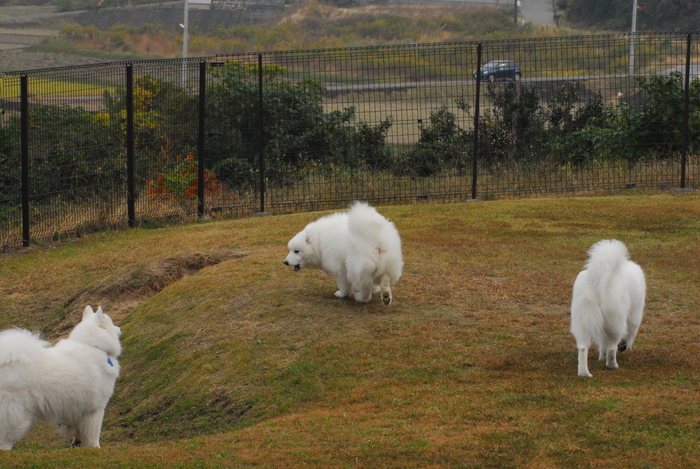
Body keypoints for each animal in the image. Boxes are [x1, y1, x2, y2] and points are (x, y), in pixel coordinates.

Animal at [0, 306, 121, 448]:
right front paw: (95, 448)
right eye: (111, 323)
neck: (94, 346)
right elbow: (93, 434)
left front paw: (77, 445)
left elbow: (78, 433)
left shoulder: (75, 411)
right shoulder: (95, 409)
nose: (120, 328)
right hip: (17, 415)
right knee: (5, 438)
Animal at [568, 239, 644, 378]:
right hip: (616, 322)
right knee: (612, 348)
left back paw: (584, 373)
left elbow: (602, 344)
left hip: (582, 320)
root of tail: (596, 276)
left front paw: (601, 358)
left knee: (582, 348)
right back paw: (612, 366)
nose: (622, 348)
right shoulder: (634, 316)